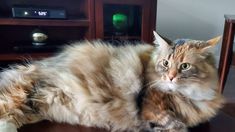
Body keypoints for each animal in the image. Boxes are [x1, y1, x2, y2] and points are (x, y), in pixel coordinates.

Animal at [0, 32, 224, 132]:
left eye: (184, 66)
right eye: (166, 63)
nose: (170, 77)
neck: (188, 95)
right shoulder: (153, 110)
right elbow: (174, 125)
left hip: (33, 106)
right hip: (20, 94)